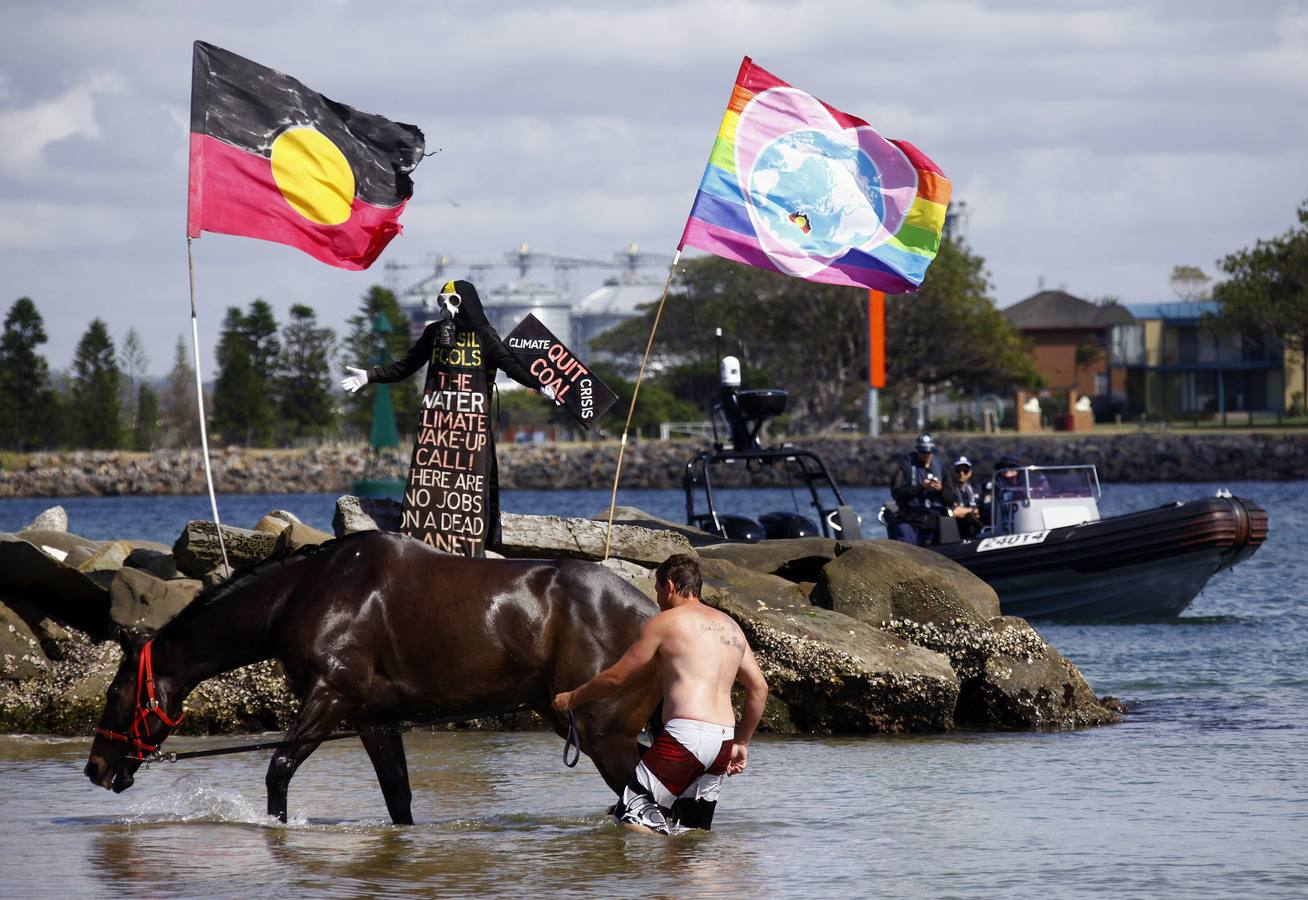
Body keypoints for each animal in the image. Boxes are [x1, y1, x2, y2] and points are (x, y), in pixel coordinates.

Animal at [83, 531, 659, 826]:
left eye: (115, 691)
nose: (95, 768)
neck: (303, 595)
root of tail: (652, 612)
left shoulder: (329, 699)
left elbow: (278, 770)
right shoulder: (373, 720)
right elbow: (397, 796)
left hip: (605, 738)